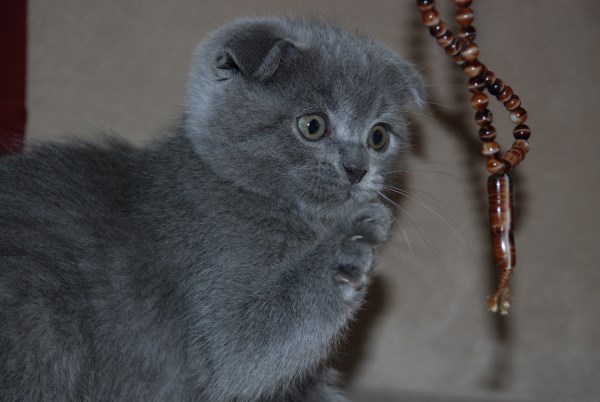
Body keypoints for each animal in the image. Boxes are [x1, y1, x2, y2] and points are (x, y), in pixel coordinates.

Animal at [0, 17, 424, 400]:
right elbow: (240, 353)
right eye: (313, 125)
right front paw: (353, 242)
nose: (357, 168)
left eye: (379, 136)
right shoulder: (210, 270)